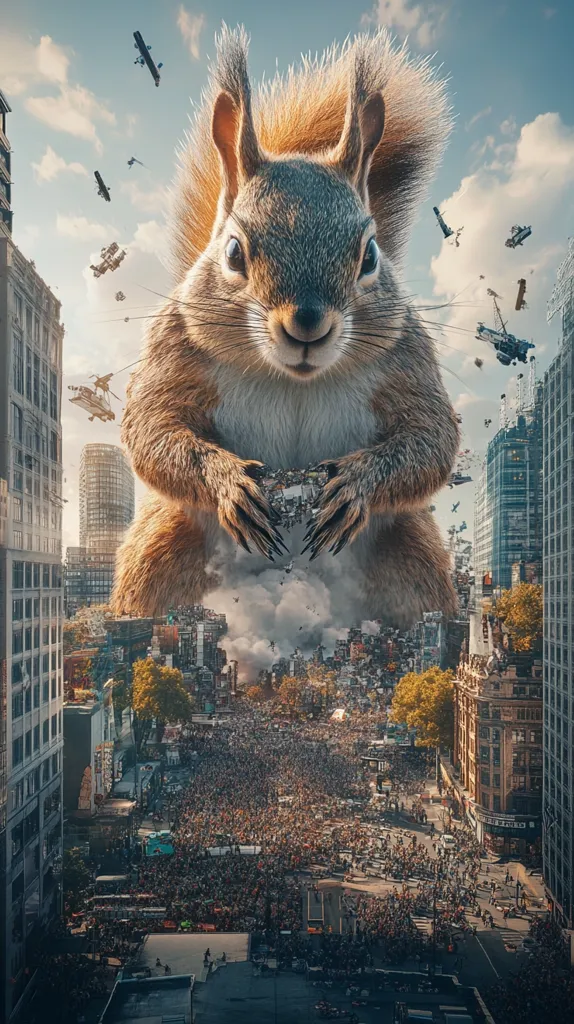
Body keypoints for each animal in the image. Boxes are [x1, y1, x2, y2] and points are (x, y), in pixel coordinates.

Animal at [111, 26, 459, 627]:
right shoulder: (175, 348)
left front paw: (357, 485)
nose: (307, 325)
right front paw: (228, 482)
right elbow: (153, 428)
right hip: (161, 552)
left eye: (370, 255)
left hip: (414, 561)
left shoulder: (406, 358)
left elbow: (432, 436)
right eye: (232, 252)